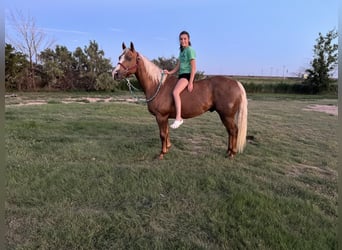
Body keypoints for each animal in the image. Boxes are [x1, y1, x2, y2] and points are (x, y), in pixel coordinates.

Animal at [113, 42, 247, 159]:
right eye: (120, 56)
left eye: (129, 57)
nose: (115, 74)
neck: (158, 85)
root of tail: (236, 83)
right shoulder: (165, 117)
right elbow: (167, 132)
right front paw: (168, 147)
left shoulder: (161, 116)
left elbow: (162, 134)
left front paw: (161, 153)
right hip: (225, 116)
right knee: (230, 131)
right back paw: (228, 151)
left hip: (227, 115)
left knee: (233, 131)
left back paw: (232, 153)